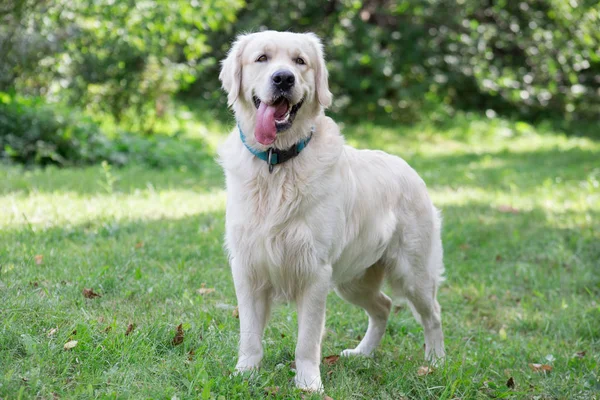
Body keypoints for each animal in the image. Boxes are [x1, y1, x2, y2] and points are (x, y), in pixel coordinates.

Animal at [218, 30, 442, 390]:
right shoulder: (247, 266)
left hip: (413, 273)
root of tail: (409, 167)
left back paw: (436, 361)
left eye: (300, 61)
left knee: (432, 313)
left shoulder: (314, 271)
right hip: (353, 278)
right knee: (383, 306)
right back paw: (363, 353)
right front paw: (245, 373)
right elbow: (250, 333)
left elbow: (307, 340)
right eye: (262, 58)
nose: (283, 78)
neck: (277, 164)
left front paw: (309, 383)